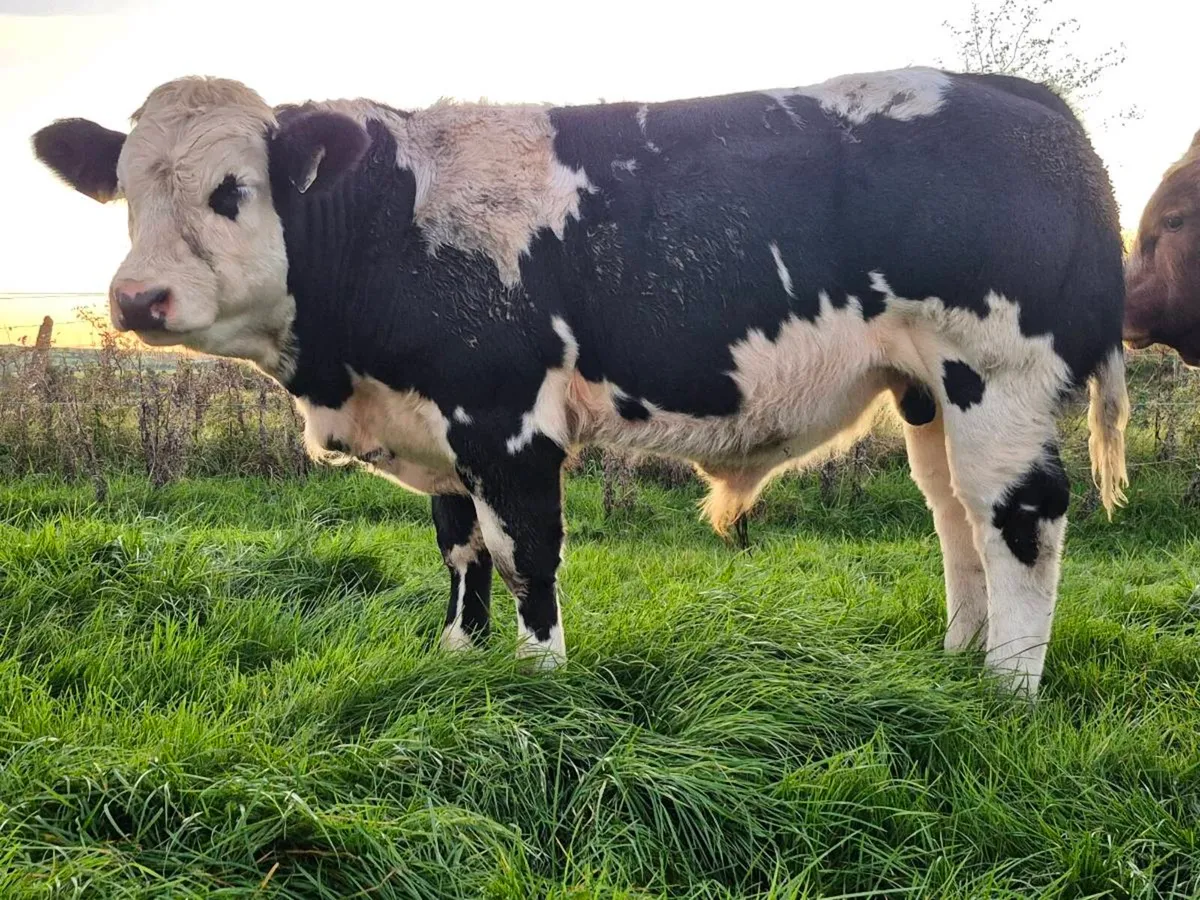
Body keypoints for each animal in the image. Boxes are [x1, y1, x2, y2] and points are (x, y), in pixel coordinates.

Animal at [31, 66, 1130, 697]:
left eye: (233, 190)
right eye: (124, 189)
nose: (136, 298)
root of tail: (1011, 91)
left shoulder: (506, 419)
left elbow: (526, 554)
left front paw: (539, 679)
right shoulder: (441, 426)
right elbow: (461, 550)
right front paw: (460, 658)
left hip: (996, 371)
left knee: (1023, 515)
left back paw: (1007, 690)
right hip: (927, 391)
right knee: (955, 516)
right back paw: (956, 661)